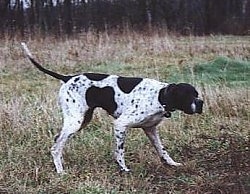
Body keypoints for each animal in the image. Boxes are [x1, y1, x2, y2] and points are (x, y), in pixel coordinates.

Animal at [20, 42, 202, 173]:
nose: (200, 103)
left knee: (58, 140)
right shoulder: (120, 125)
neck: (159, 96)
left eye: (196, 93)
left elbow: (162, 150)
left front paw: (171, 163)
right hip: (75, 122)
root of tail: (68, 78)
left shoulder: (150, 129)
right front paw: (123, 169)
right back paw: (60, 171)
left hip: (82, 120)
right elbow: (120, 152)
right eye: (187, 95)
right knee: (56, 146)